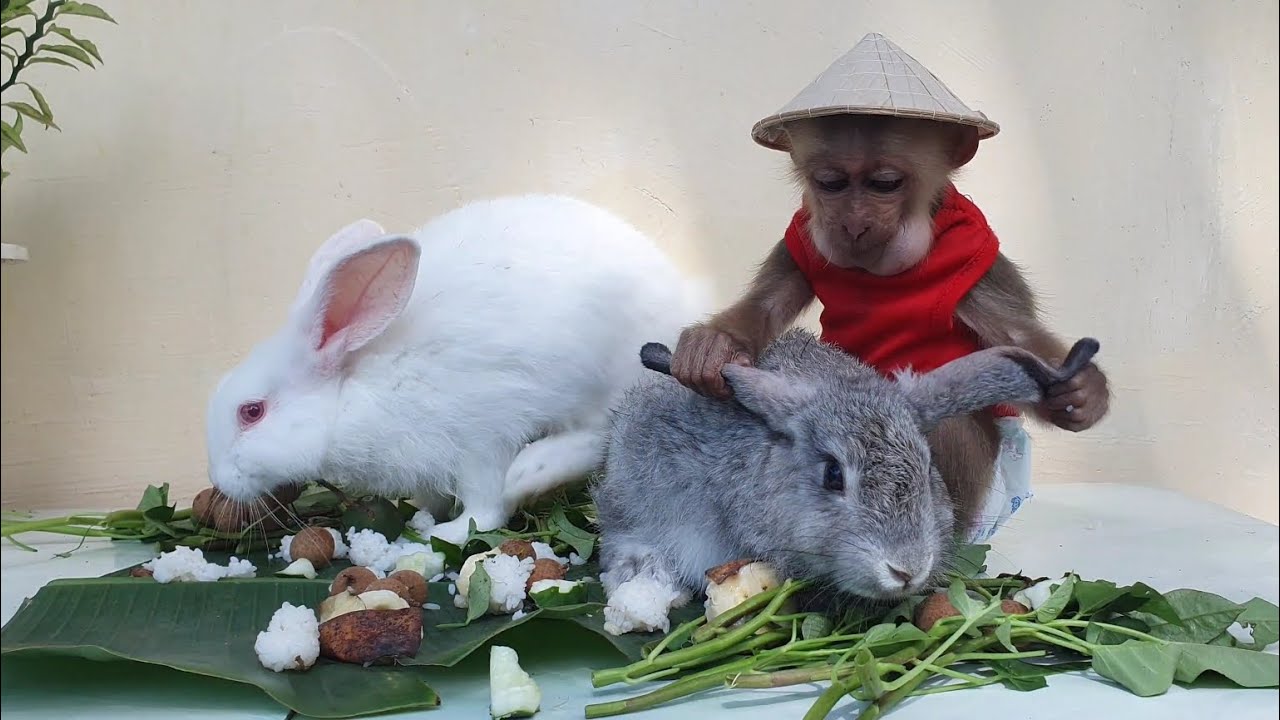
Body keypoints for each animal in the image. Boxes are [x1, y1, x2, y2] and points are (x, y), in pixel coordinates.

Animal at [205, 194, 709, 545]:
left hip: (609, 380)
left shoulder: (479, 438)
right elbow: (431, 496)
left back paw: (531, 472)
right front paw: (421, 516)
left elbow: (483, 507)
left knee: (598, 435)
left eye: (251, 412)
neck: (352, 388)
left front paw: (446, 532)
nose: (218, 480)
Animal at [671, 111, 1111, 538]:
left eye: (885, 184)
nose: (853, 224)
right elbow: (765, 306)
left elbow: (1018, 338)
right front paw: (713, 346)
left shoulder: (974, 260)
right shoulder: (800, 236)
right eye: (831, 183)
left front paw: (1082, 391)